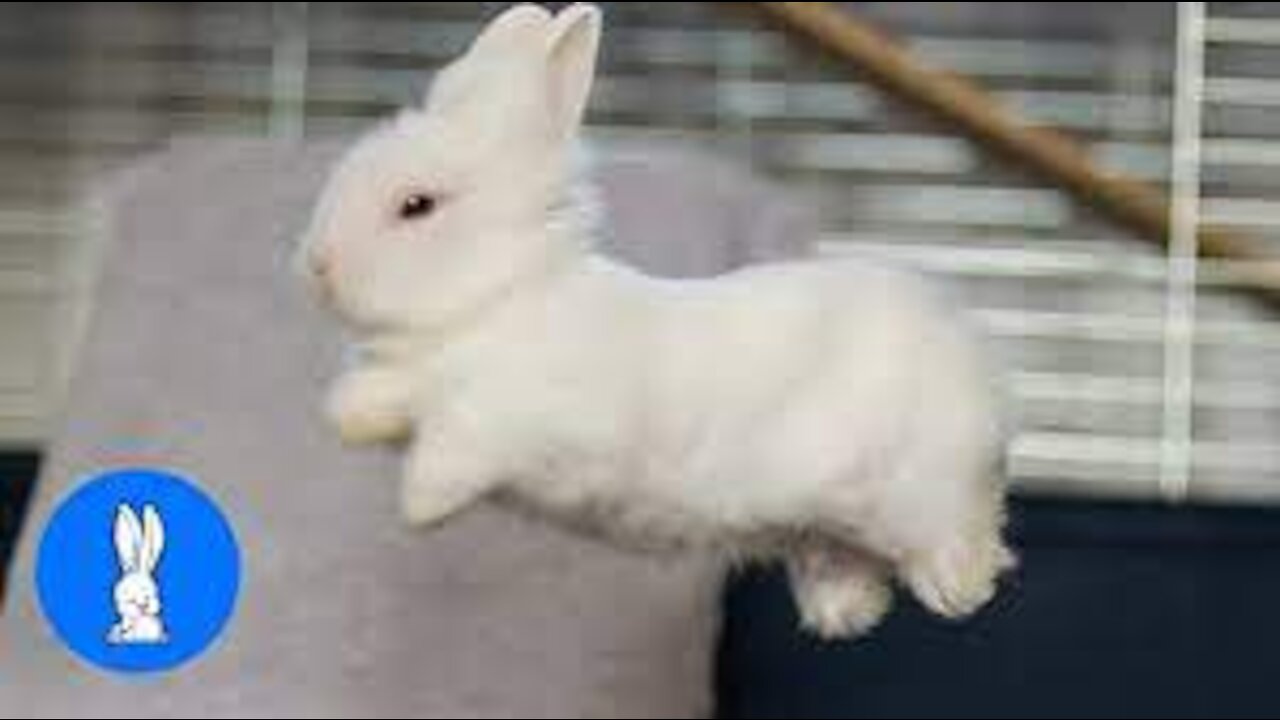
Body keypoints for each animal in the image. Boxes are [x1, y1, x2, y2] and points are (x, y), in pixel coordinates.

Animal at [296, 2, 1008, 635]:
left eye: (416, 205)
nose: (317, 266)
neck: (500, 297)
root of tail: (965, 351)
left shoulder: (515, 421)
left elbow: (457, 447)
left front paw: (418, 507)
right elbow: (380, 397)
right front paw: (349, 420)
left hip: (913, 487)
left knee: (969, 522)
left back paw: (961, 589)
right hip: (828, 531)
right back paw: (844, 616)